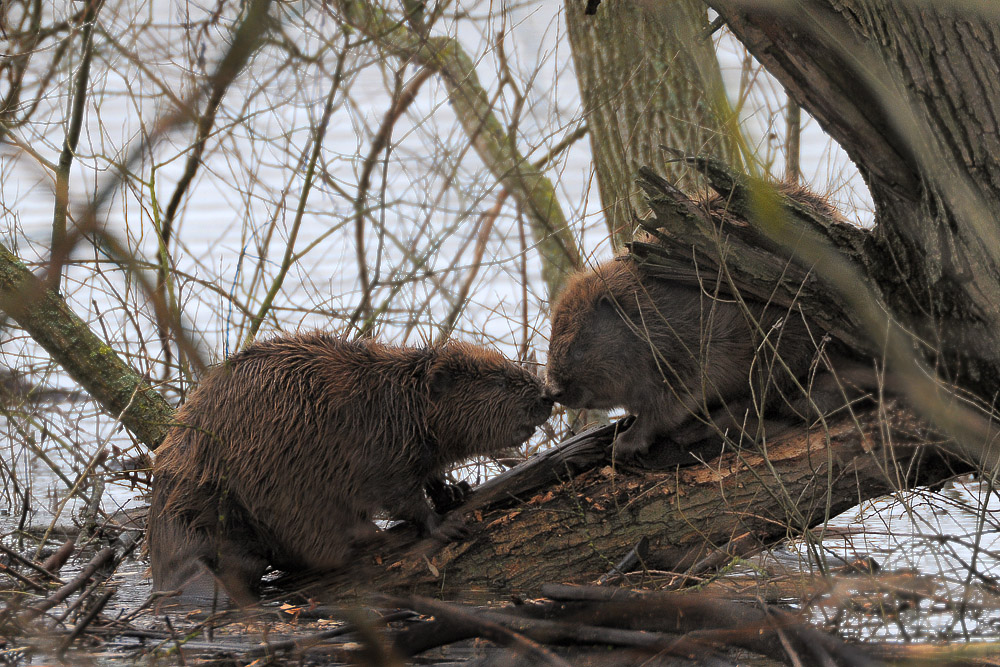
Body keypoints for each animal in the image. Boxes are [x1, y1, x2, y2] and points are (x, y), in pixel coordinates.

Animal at [148, 334, 556, 604]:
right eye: (501, 380)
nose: (547, 396)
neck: (397, 401)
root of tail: (174, 569)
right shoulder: (376, 448)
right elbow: (400, 495)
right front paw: (447, 524)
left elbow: (427, 475)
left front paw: (454, 491)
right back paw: (368, 538)